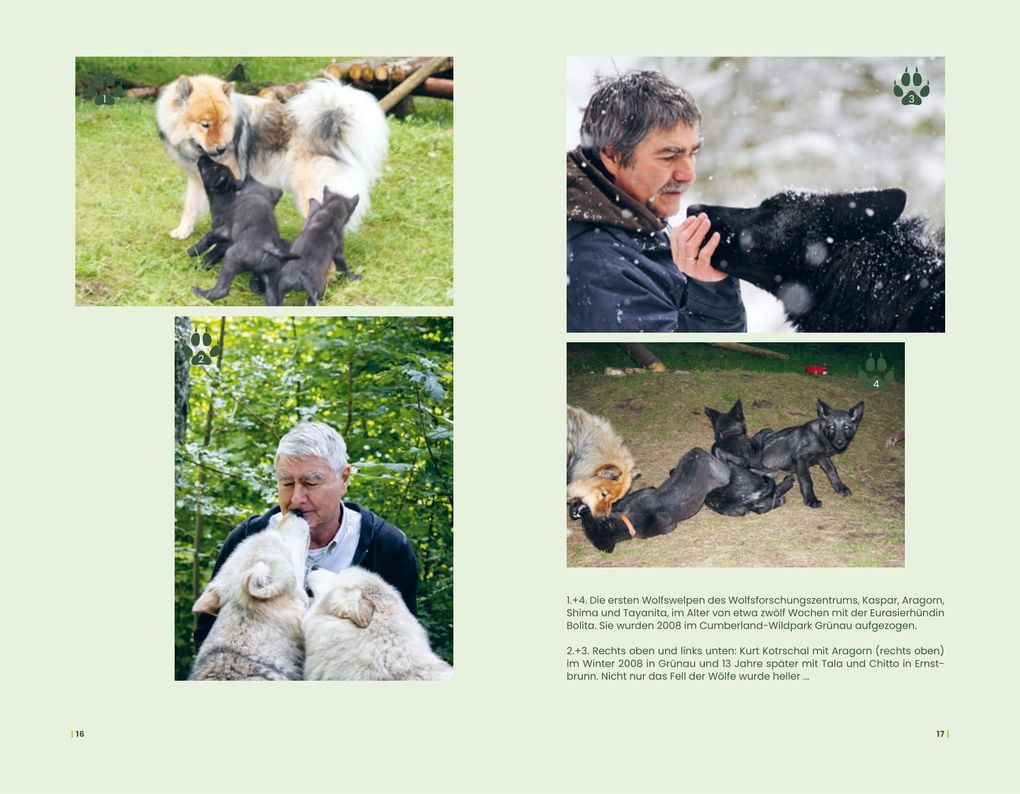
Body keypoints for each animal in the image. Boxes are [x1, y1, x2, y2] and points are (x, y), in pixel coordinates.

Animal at [570, 448, 730, 553]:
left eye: (585, 528)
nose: (581, 514)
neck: (627, 521)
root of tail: (697, 452)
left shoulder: (668, 526)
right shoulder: (646, 492)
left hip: (723, 475)